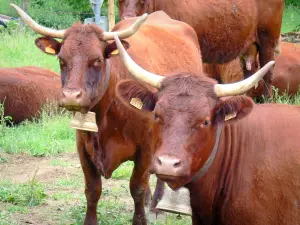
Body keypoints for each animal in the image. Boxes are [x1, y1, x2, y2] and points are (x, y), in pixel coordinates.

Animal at [11, 4, 204, 224]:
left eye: (97, 60)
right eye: (61, 59)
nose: (71, 96)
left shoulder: (145, 149)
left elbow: (137, 188)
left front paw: (141, 218)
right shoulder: (83, 148)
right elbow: (92, 190)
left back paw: (156, 205)